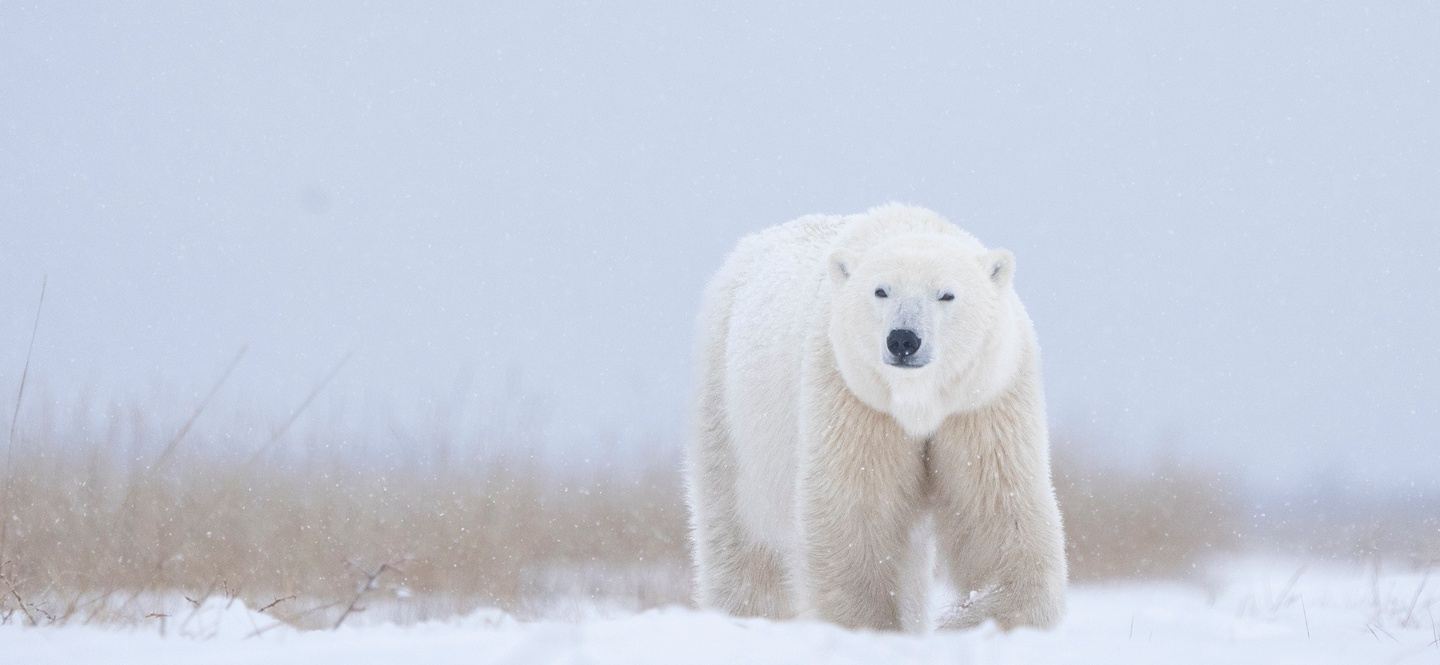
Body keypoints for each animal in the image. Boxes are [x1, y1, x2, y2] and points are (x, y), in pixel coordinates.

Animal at [685, 203, 1066, 632]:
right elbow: (855, 510)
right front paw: (871, 625)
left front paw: (970, 618)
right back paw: (743, 613)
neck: (917, 402)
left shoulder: (981, 401)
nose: (903, 339)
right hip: (729, 402)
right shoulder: (852, 394)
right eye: (881, 290)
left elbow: (997, 508)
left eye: (946, 294)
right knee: (737, 525)